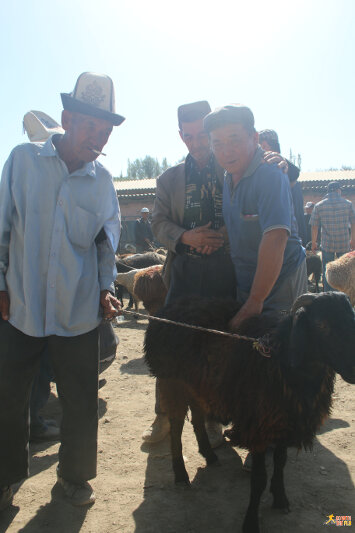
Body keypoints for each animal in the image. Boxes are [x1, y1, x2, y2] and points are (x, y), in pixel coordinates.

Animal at [144, 290, 355, 532]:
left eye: (352, 318)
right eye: (321, 324)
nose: (354, 370)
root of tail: (166, 310)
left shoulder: (283, 423)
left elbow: (280, 463)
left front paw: (281, 499)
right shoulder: (259, 426)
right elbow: (259, 479)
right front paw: (251, 521)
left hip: (198, 383)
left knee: (197, 417)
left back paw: (209, 454)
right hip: (173, 381)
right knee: (177, 426)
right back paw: (180, 474)